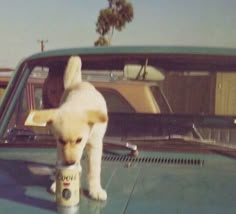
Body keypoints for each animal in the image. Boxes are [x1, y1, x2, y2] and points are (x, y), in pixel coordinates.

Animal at [26, 55, 107, 201]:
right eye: (61, 140)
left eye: (79, 140)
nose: (69, 162)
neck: (77, 102)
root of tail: (78, 83)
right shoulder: (60, 147)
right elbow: (61, 162)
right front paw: (58, 182)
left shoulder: (95, 144)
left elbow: (94, 170)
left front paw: (95, 190)